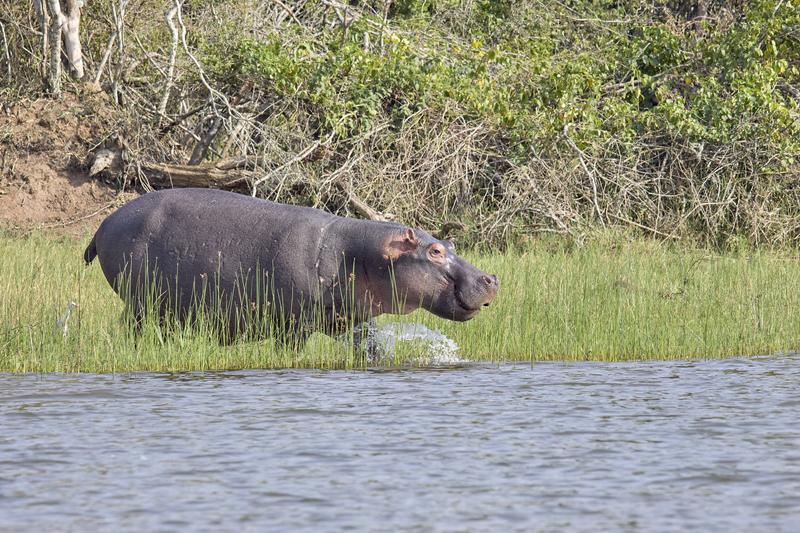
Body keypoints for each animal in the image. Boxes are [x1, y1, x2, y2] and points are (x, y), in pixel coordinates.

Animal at [86, 187, 500, 354]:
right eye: (434, 251)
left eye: (451, 246)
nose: (491, 278)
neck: (362, 252)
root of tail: (104, 222)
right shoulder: (292, 324)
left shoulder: (350, 320)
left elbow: (372, 347)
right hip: (140, 303)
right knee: (131, 329)